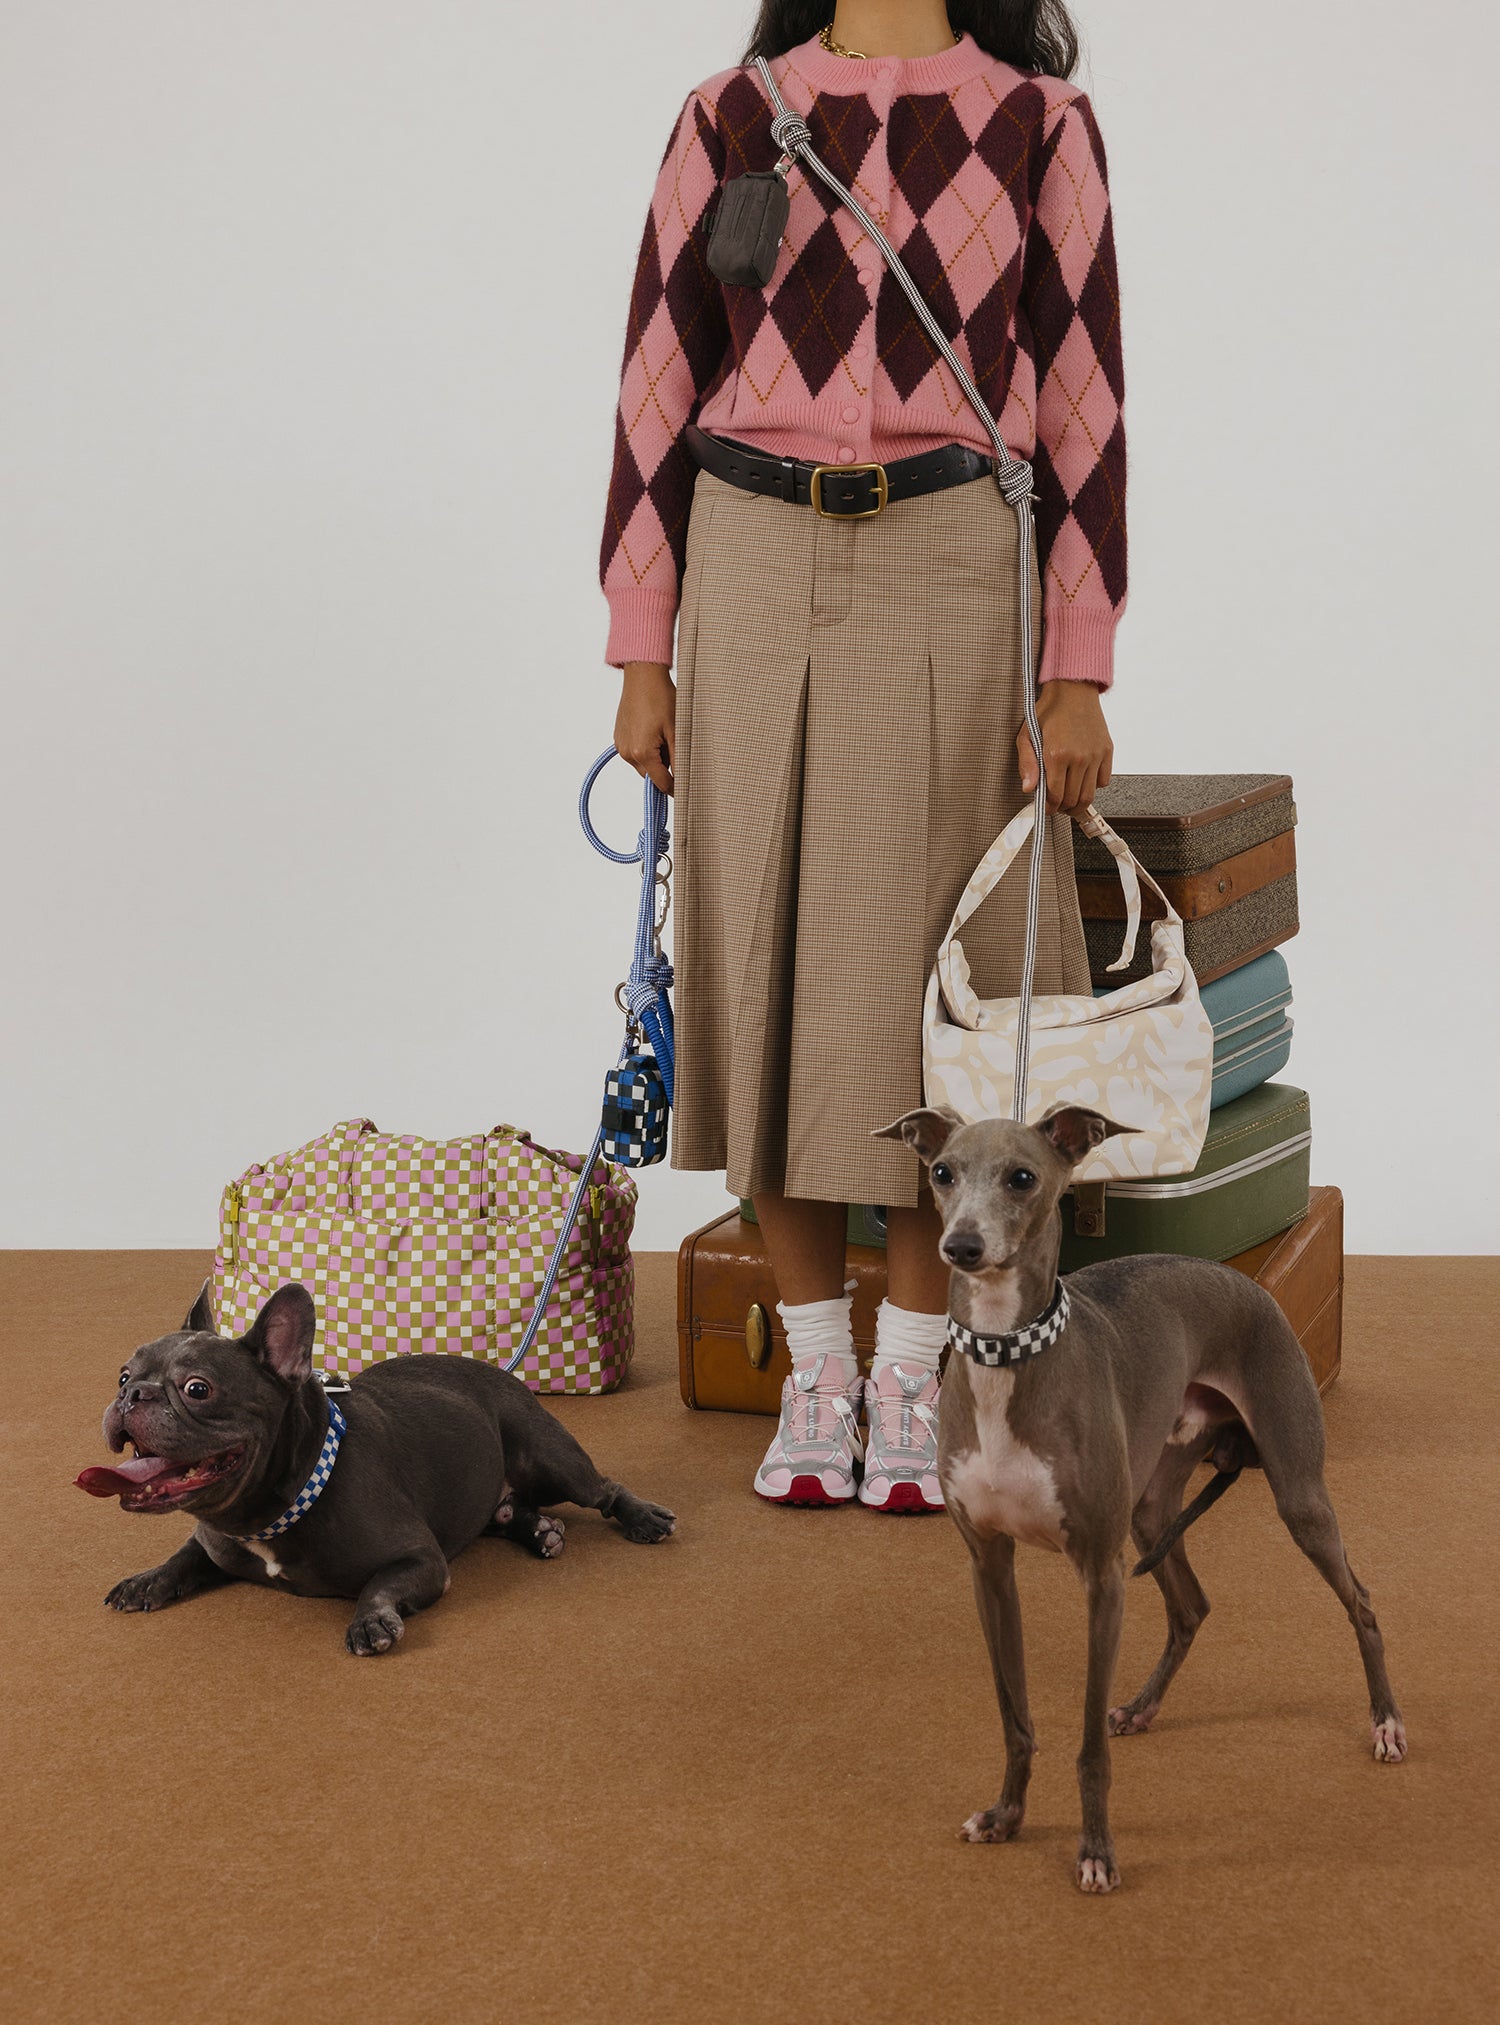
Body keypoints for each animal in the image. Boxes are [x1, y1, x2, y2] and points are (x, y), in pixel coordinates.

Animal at [78, 1281, 676, 1654]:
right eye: (122, 1375)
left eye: (197, 1389)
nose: (134, 1394)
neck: (273, 1513)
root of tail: (503, 1374)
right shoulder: (212, 1544)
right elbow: (184, 1557)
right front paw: (148, 1579)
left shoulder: (422, 1560)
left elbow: (380, 1586)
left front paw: (370, 1621)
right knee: (505, 1512)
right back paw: (539, 1531)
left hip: (551, 1460)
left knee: (603, 1490)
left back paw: (640, 1517)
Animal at [876, 1102, 1404, 1894]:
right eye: (942, 1172)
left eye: (1022, 1177)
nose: (961, 1246)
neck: (1008, 1358)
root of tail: (1245, 1279)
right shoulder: (989, 1567)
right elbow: (1014, 1714)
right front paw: (1006, 1815)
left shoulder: (1103, 1576)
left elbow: (1088, 1746)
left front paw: (1096, 1850)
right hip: (1153, 1508)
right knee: (1191, 1605)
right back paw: (1144, 1706)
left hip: (1297, 1492)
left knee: (1361, 1600)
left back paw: (1386, 1722)